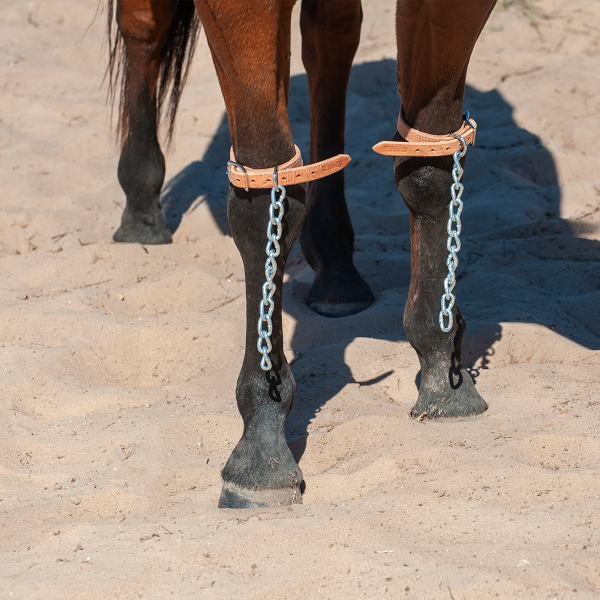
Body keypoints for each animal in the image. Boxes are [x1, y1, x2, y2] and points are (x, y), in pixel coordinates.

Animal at [104, 0, 496, 506]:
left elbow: (429, 167)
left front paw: (442, 363)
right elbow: (265, 204)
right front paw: (261, 447)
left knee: (330, 37)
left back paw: (336, 269)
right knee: (143, 29)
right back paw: (140, 207)